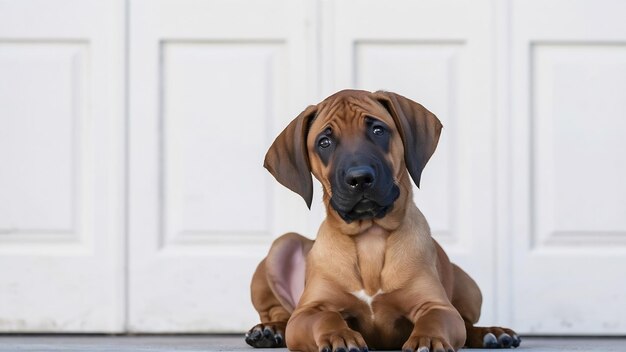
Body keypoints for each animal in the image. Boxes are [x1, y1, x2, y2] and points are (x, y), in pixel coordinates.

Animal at [246, 89, 520, 350]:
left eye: (378, 130)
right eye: (324, 142)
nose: (359, 178)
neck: (370, 237)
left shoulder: (437, 306)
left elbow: (435, 319)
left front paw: (428, 339)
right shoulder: (307, 312)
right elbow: (326, 317)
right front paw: (338, 335)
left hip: (470, 287)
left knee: (467, 322)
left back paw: (492, 333)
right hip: (282, 245)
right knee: (279, 313)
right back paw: (269, 330)